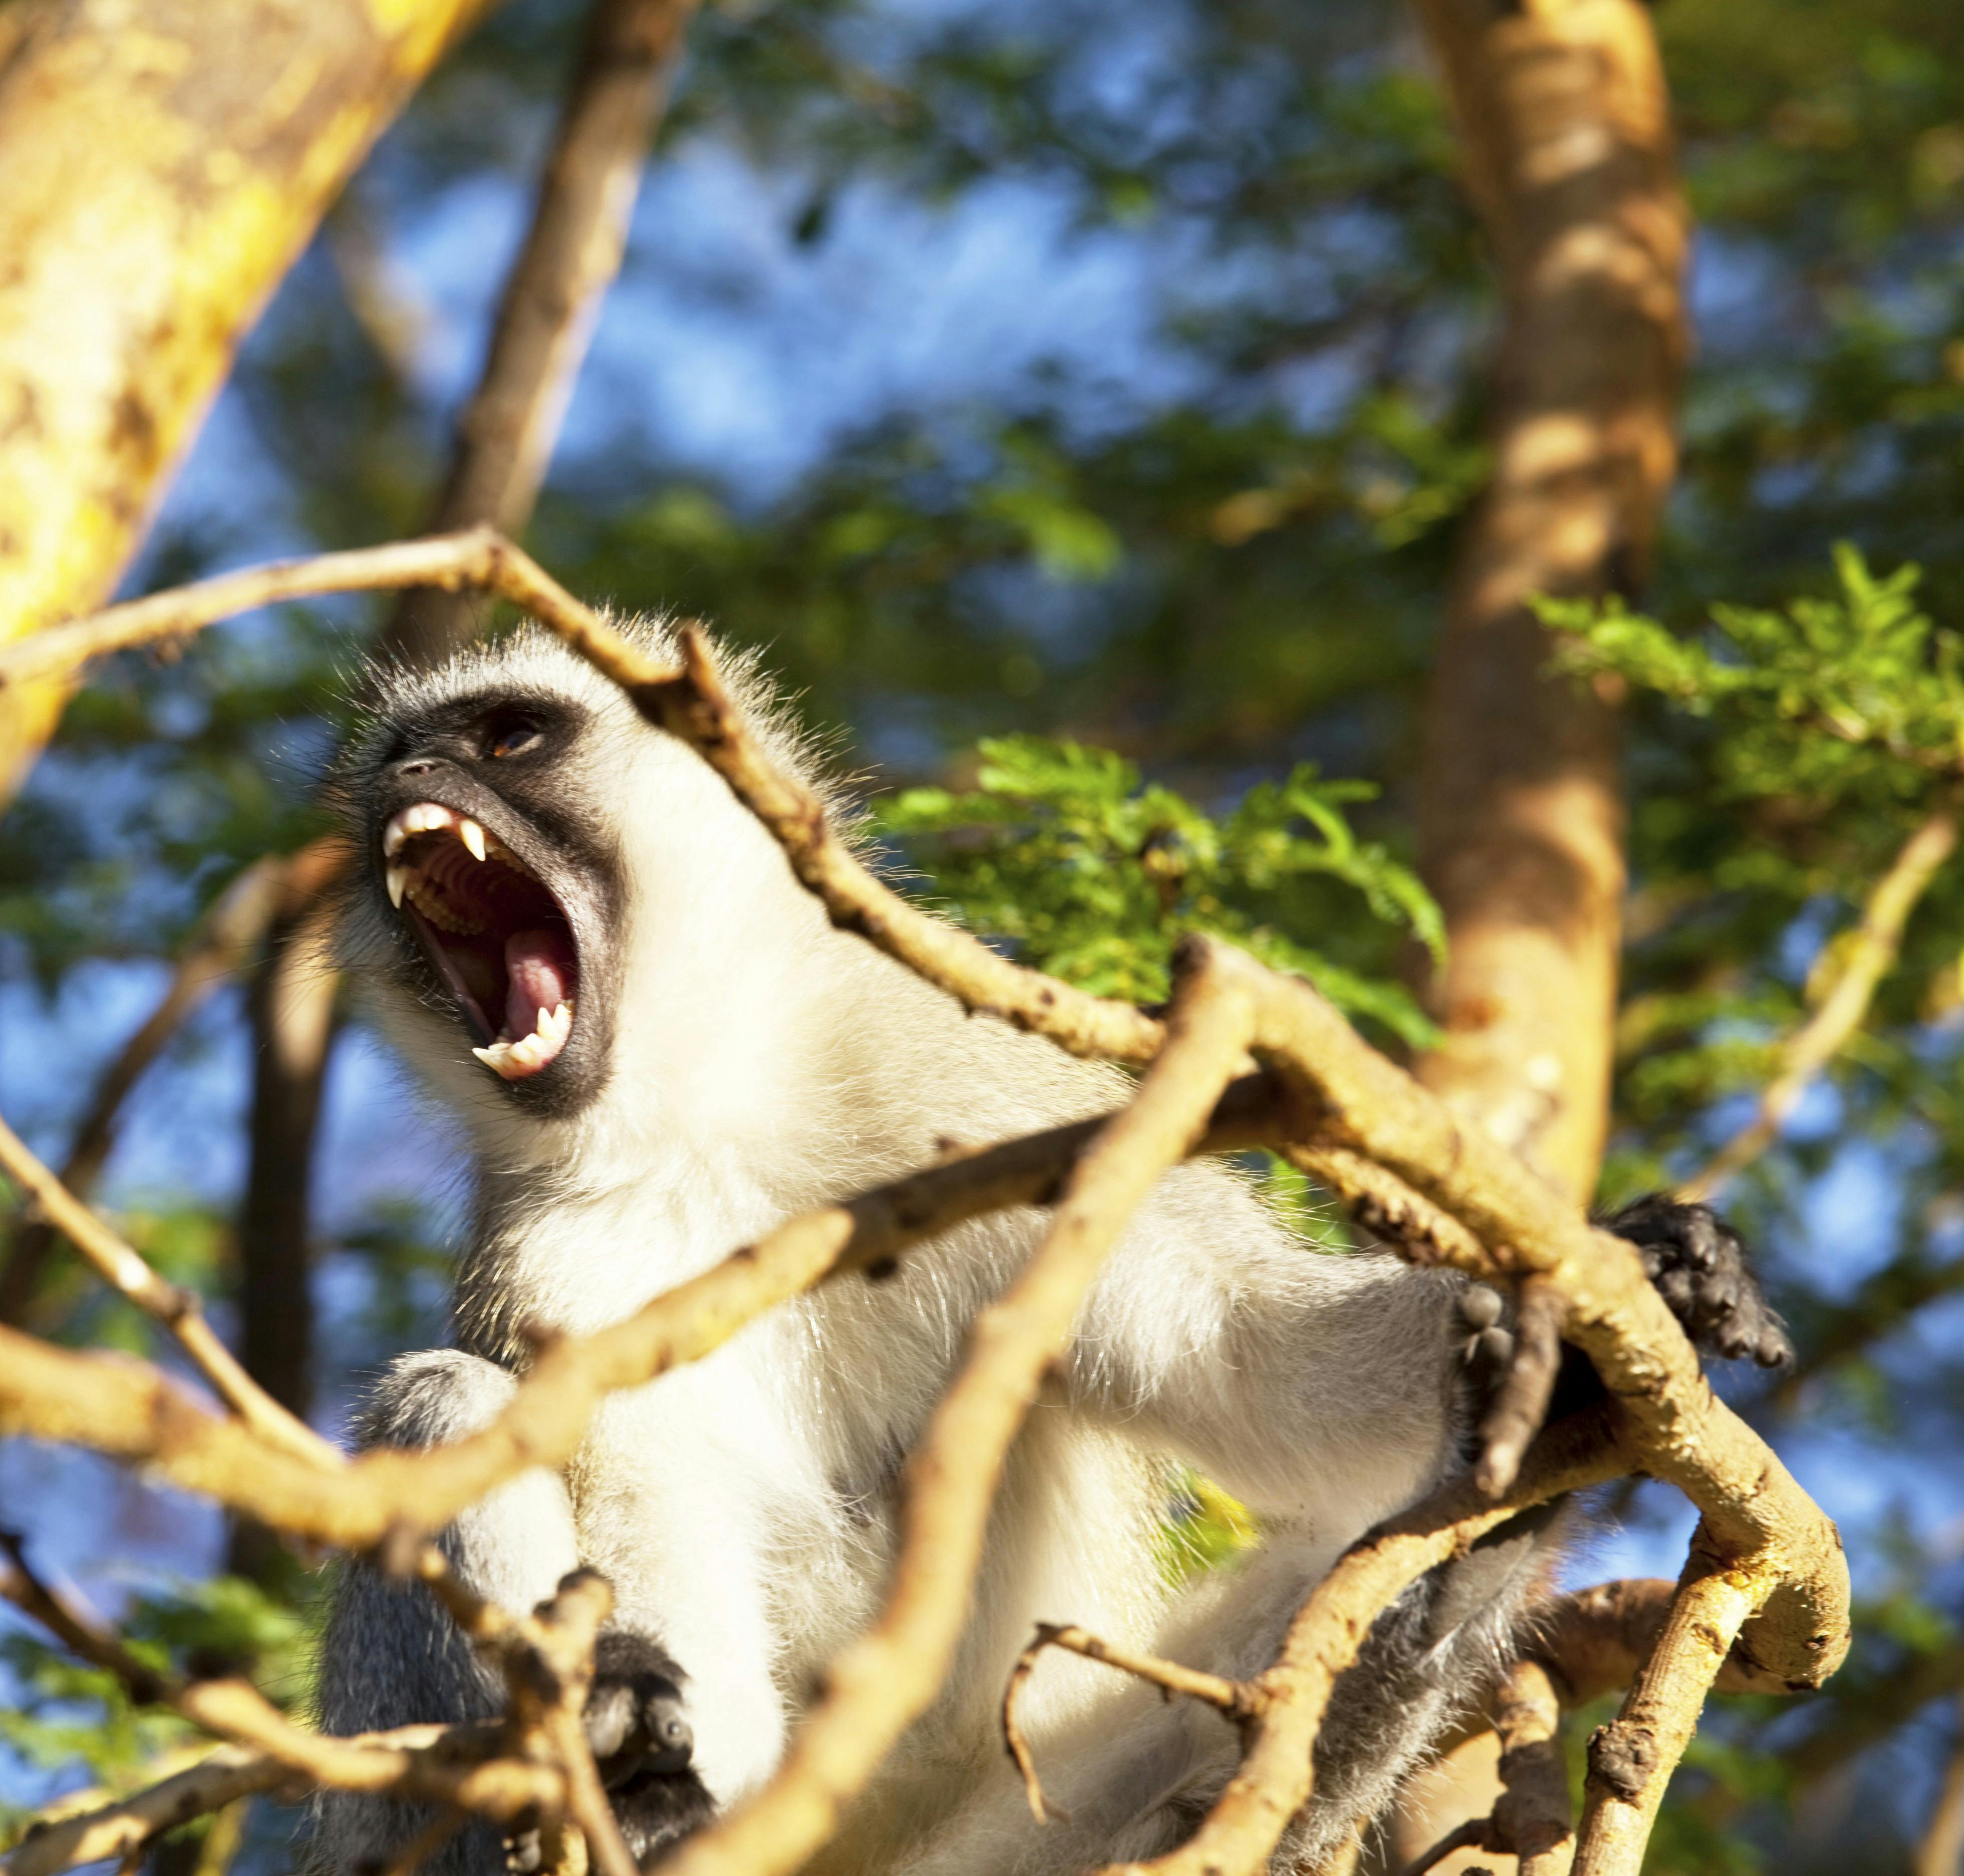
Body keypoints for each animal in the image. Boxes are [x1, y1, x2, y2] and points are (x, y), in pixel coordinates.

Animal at [310, 624, 1799, 1870]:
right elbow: (647, 1518)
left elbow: (1250, 1357)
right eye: (396, 765)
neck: (716, 1115)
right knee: (441, 1403)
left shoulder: (1011, 1105)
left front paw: (1642, 1284)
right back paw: (632, 1783)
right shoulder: (561, 1270)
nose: (413, 782)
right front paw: (634, 1742)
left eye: (509, 735)